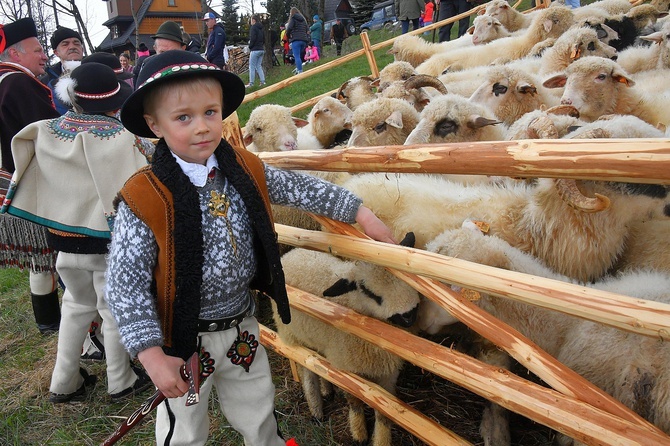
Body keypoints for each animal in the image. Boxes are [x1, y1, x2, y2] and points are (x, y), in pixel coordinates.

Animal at [272, 233, 420, 446]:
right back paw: (316, 411)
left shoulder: (388, 372)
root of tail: (291, 254)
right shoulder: (347, 368)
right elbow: (355, 402)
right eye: (367, 291)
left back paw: (327, 390)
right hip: (294, 336)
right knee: (308, 371)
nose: (409, 315)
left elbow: (385, 412)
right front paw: (359, 434)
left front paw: (381, 439)